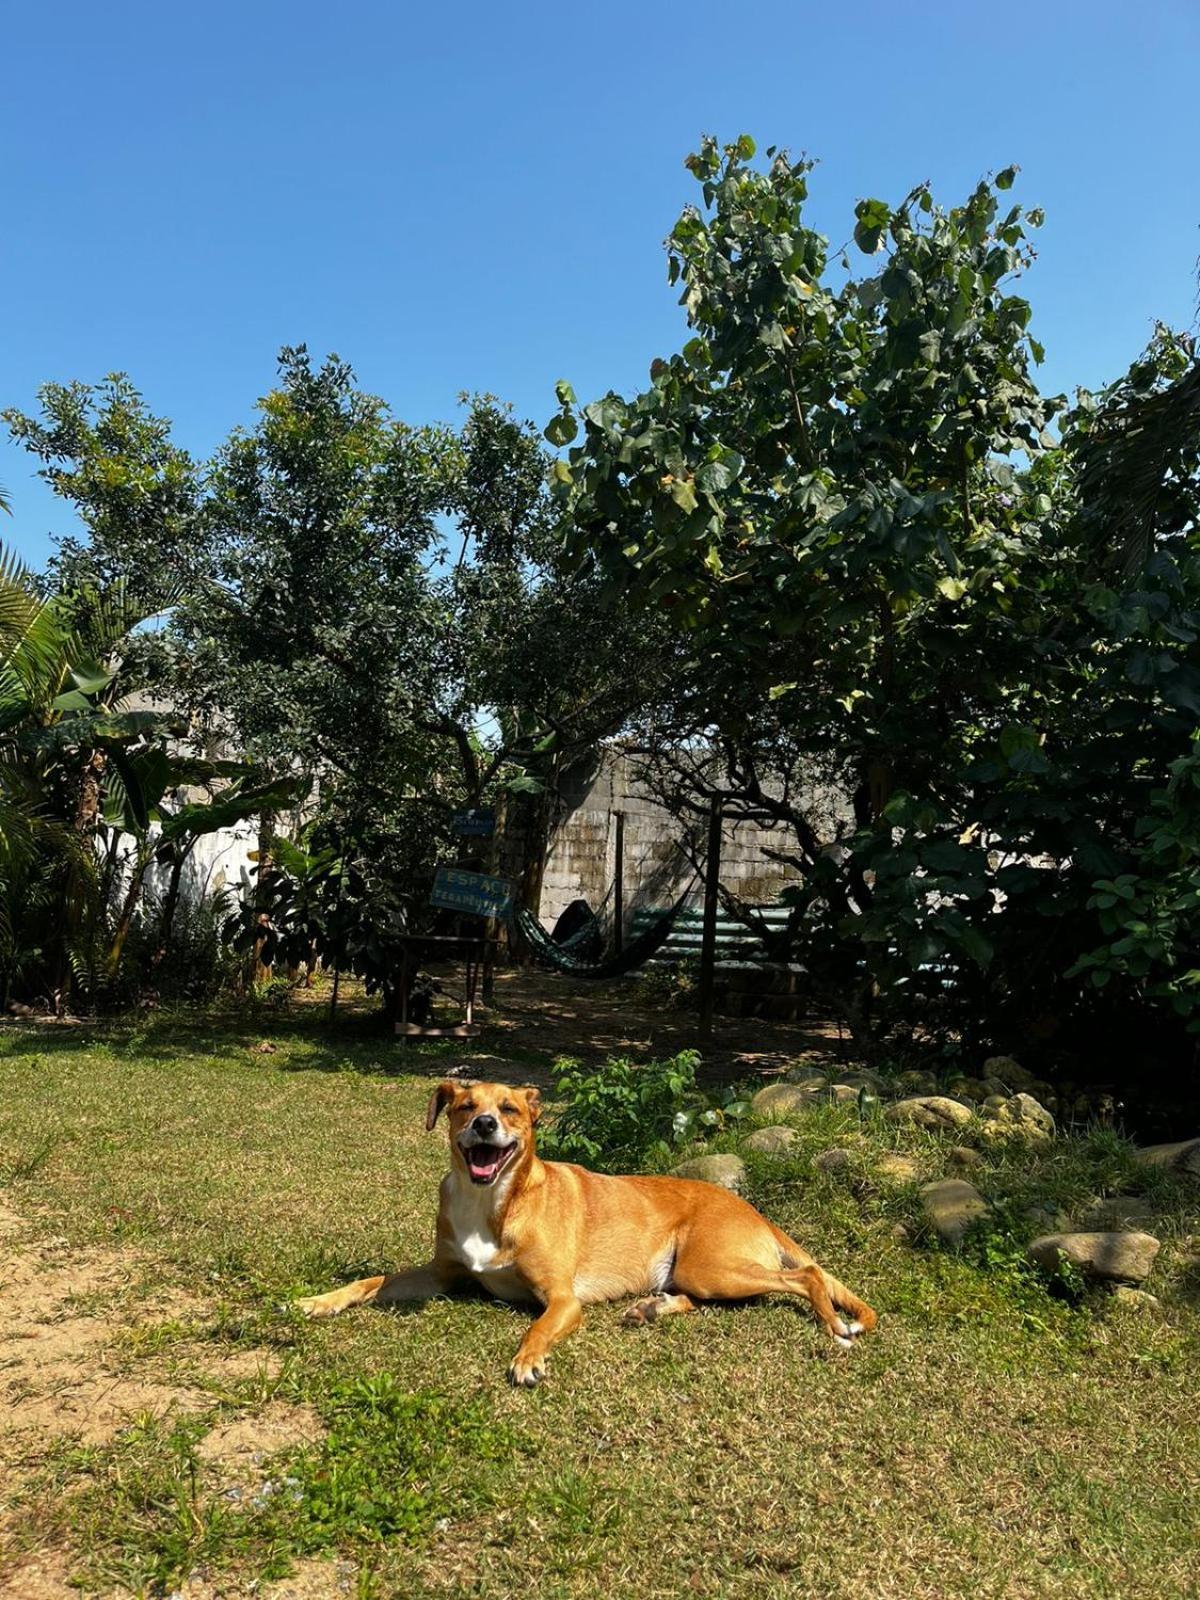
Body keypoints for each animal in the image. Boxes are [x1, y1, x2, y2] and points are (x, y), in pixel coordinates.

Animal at [294, 1075, 876, 1388]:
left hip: (712, 1266)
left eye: (509, 1109)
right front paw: (317, 1301)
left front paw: (528, 1360)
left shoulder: (562, 1299)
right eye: (465, 1106)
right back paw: (651, 1309)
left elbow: (535, 1328)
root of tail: (751, 1208)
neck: (495, 1201)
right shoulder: (442, 1274)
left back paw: (834, 1326)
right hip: (696, 1272)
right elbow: (370, 1281)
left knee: (808, 1274)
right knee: (696, 1297)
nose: (484, 1125)